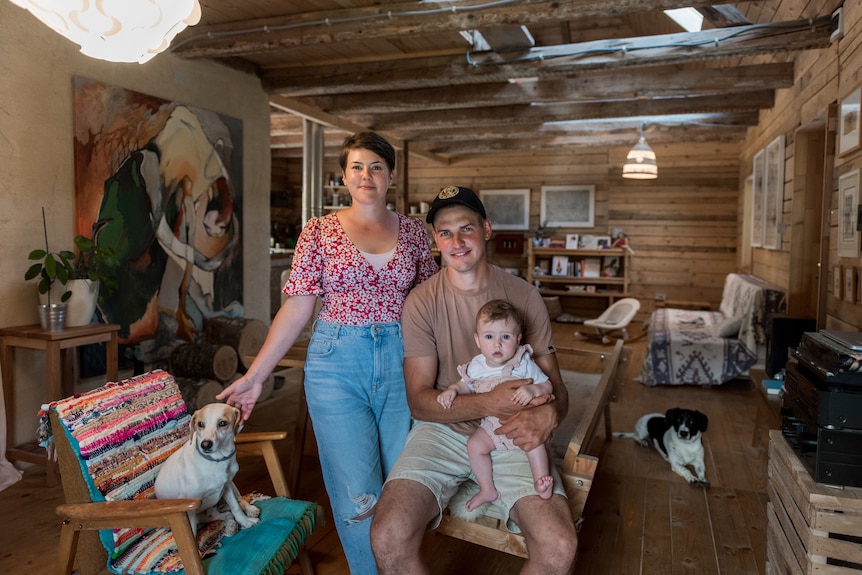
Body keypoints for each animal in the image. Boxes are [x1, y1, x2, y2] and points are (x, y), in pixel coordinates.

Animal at [155, 402, 262, 532]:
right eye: (200, 424)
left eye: (222, 423)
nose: (205, 445)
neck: (215, 461)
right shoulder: (189, 512)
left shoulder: (226, 486)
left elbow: (236, 507)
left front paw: (245, 521)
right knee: (220, 514)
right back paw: (229, 522)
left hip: (232, 485)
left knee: (239, 500)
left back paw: (249, 510)